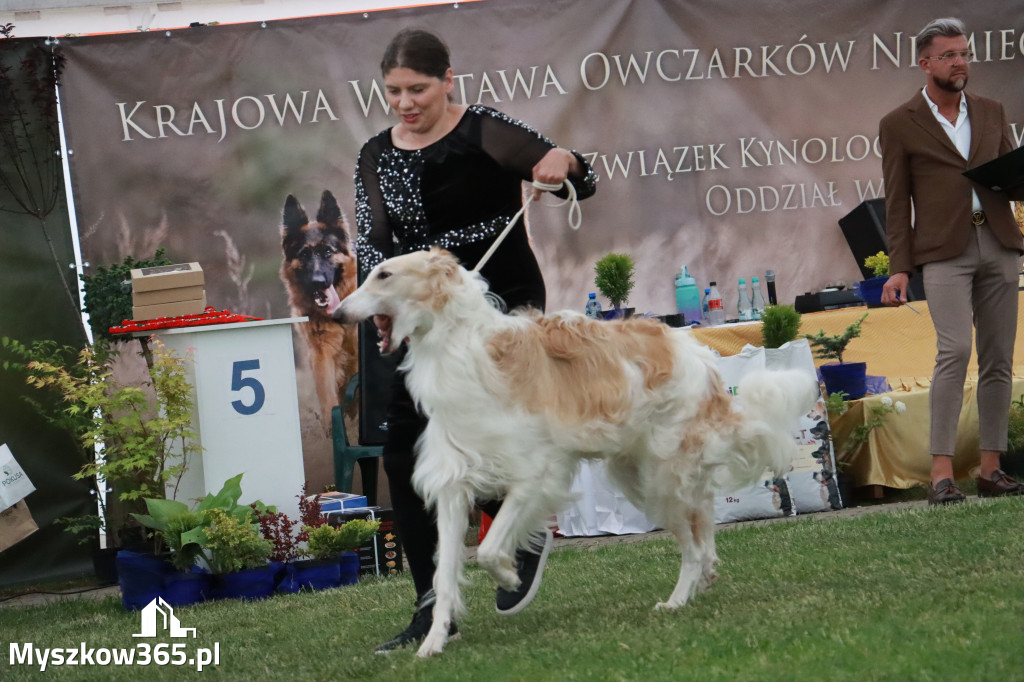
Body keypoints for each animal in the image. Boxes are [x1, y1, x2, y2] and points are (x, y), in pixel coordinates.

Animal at [335, 245, 815, 655]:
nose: (337, 313)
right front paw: (432, 642)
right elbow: (445, 575)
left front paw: (510, 575)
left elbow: (488, 549)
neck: (461, 349)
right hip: (642, 476)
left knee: (694, 544)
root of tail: (695, 351)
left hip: (661, 475)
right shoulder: (454, 485)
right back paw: (700, 580)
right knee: (702, 523)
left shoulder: (536, 473)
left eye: (384, 274)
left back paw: (677, 600)